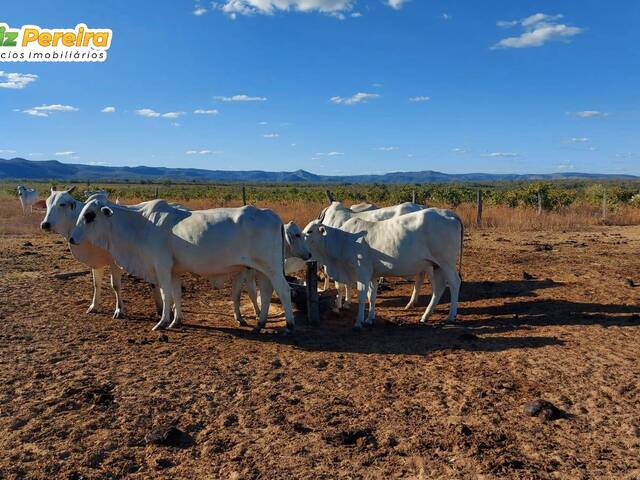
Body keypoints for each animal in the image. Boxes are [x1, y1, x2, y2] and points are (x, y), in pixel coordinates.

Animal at [40, 188, 162, 318]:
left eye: (62, 204)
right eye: (47, 204)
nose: (45, 224)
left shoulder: (115, 262)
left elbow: (115, 285)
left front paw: (119, 310)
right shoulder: (96, 262)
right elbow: (96, 284)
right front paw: (93, 306)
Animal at [69, 197, 298, 332]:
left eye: (89, 216)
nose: (71, 238)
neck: (141, 224)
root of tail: (271, 214)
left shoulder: (161, 266)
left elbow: (165, 295)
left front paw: (162, 322)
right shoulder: (174, 271)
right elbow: (176, 295)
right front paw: (175, 320)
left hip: (271, 268)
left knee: (284, 290)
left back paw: (289, 324)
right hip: (263, 270)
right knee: (267, 293)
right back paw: (261, 322)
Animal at [302, 208, 462, 328]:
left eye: (310, 231)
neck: (343, 239)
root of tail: (450, 214)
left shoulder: (362, 273)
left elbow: (362, 297)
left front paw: (359, 322)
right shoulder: (372, 275)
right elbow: (371, 297)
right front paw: (369, 319)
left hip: (446, 263)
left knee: (454, 283)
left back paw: (451, 316)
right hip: (436, 266)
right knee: (438, 288)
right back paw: (425, 316)